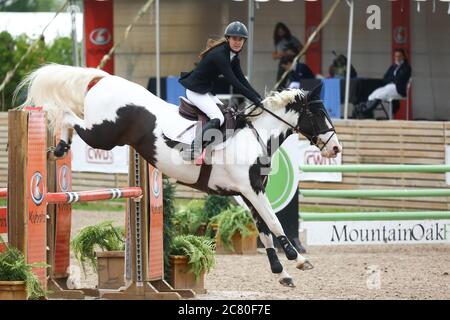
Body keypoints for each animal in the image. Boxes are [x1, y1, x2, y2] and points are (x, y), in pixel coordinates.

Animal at [15, 63, 342, 288]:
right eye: (318, 113)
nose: (335, 148)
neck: (257, 136)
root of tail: (104, 79)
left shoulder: (248, 193)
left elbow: (265, 230)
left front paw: (281, 272)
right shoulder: (251, 191)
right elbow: (275, 223)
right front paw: (299, 260)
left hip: (104, 134)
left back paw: (60, 146)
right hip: (103, 135)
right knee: (68, 115)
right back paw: (59, 140)